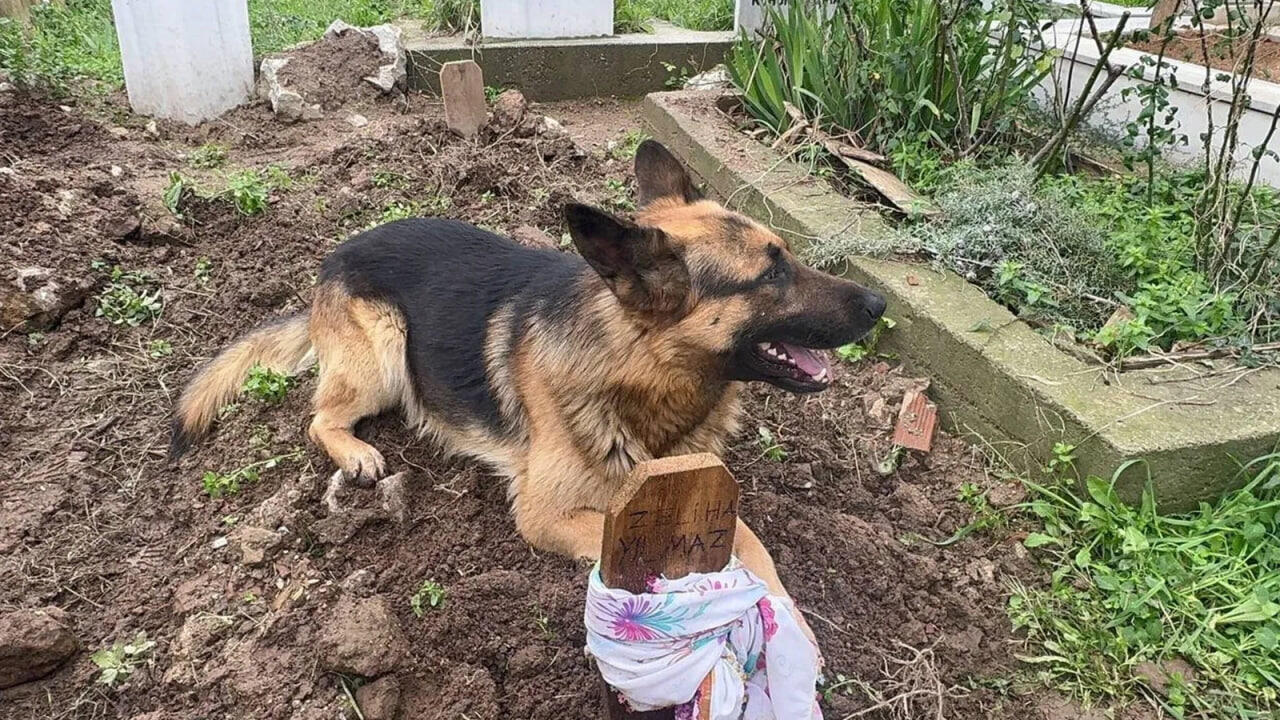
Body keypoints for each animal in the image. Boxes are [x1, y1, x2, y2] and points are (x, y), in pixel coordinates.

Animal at [172, 140, 880, 599]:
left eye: (787, 256)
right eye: (771, 275)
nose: (878, 304)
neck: (637, 367)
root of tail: (333, 258)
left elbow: (752, 546)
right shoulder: (546, 516)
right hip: (383, 355)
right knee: (318, 415)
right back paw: (356, 453)